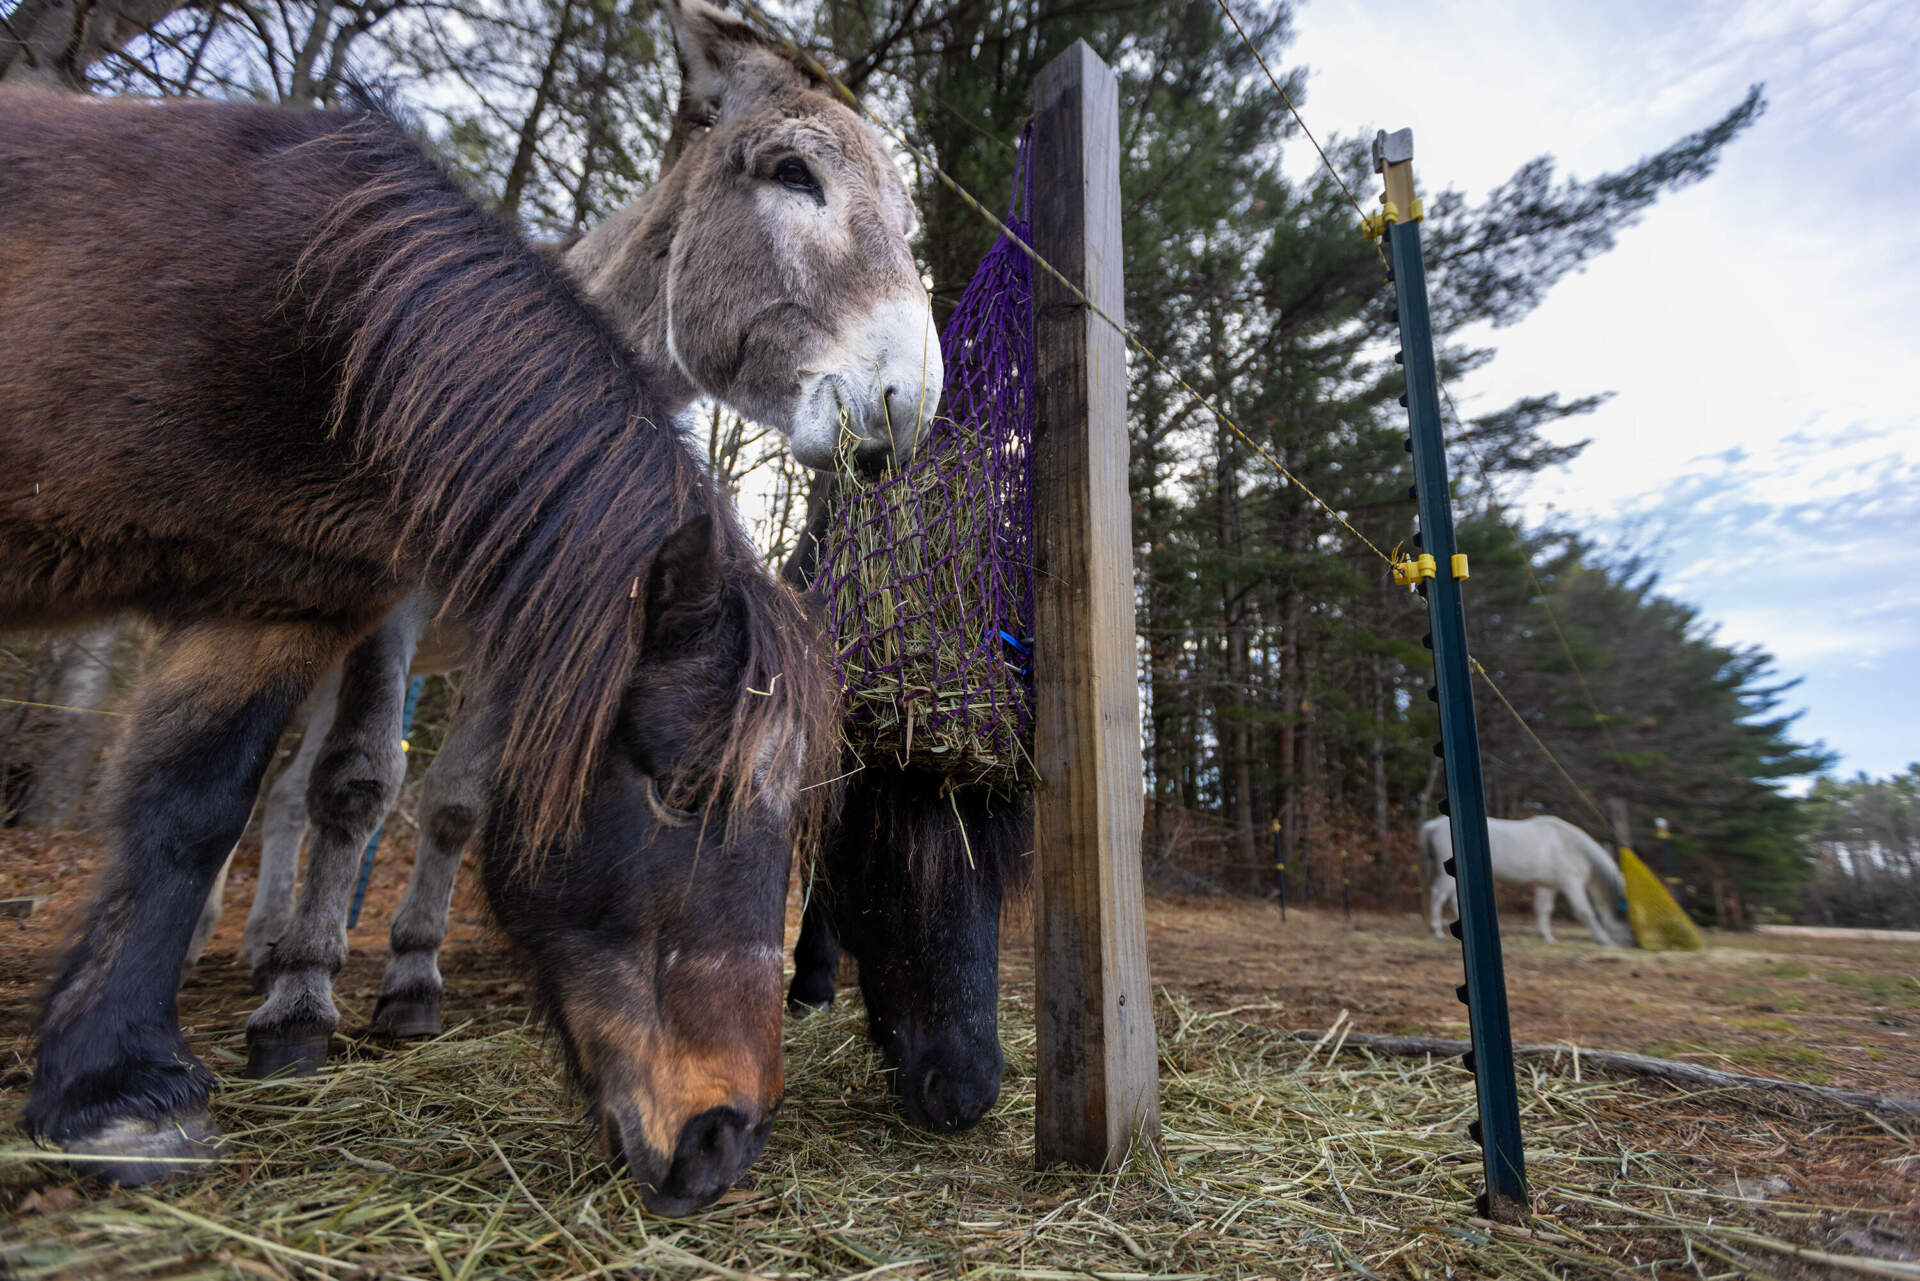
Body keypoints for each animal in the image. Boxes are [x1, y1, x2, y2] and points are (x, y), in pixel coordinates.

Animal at [0, 77, 887, 1212]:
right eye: (683, 790)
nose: (724, 1139)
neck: (323, 322)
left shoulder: (295, 606)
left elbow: (203, 805)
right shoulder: (373, 617)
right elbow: (327, 790)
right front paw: (205, 1056)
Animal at [1420, 815, 1633, 946]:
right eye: (1627, 913)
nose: (1634, 943)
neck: (1570, 846)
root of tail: (1433, 825)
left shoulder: (1547, 886)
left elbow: (1543, 910)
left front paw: (1546, 936)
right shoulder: (1571, 884)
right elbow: (1585, 912)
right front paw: (1603, 939)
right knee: (1438, 895)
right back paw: (1436, 931)